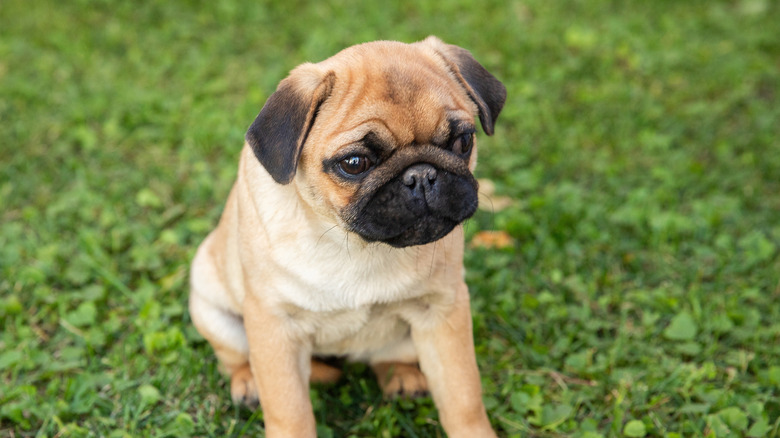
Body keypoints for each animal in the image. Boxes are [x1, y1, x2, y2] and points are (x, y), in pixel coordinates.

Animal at [188, 36, 506, 436]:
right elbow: (288, 410)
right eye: (354, 164)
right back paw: (248, 383)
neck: (355, 244)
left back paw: (402, 378)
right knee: (236, 357)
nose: (421, 175)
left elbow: (462, 396)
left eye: (463, 141)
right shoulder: (275, 325)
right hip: (212, 308)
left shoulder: (443, 311)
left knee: (390, 358)